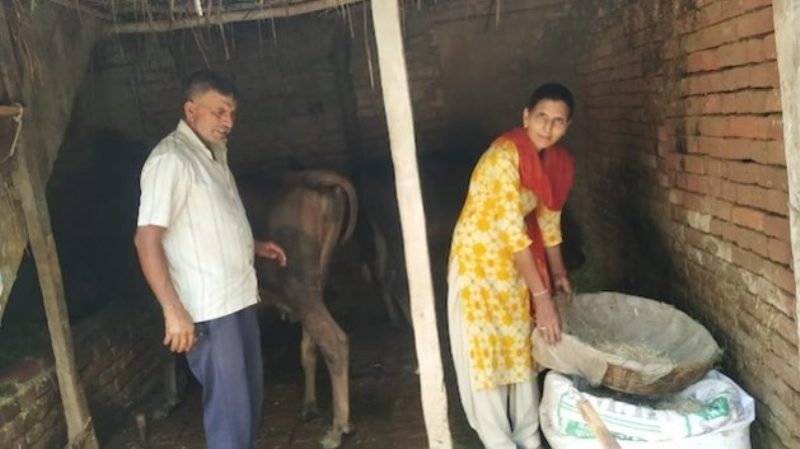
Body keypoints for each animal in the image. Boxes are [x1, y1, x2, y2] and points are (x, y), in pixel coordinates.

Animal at [239, 169, 358, 448]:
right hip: (313, 289)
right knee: (311, 345)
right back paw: (310, 406)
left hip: (300, 290)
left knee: (334, 341)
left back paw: (338, 429)